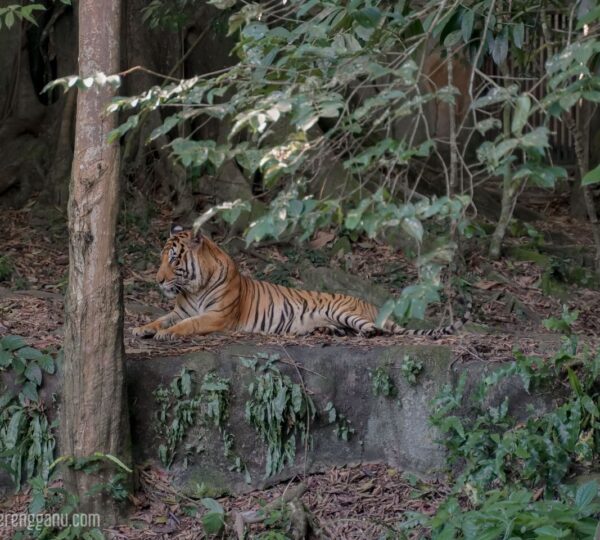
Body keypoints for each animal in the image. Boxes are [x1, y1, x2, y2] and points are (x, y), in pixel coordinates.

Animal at [130, 226, 468, 340]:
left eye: (174, 259)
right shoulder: (181, 309)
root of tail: (372, 305)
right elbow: (162, 318)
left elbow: (188, 325)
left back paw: (366, 332)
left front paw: (166, 334)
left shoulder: (216, 316)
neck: (194, 287)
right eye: (161, 259)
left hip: (345, 311)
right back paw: (324, 331)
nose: (158, 280)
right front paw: (142, 328)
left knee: (377, 329)